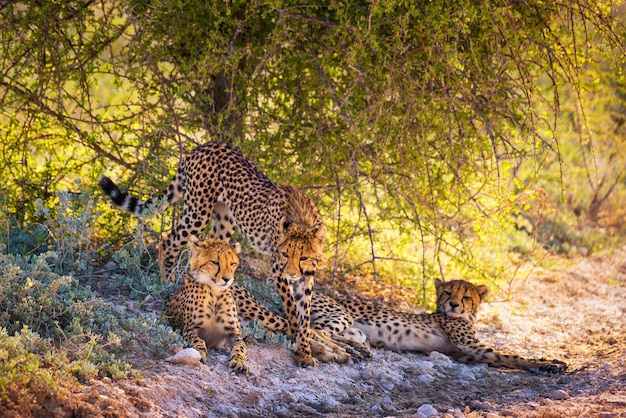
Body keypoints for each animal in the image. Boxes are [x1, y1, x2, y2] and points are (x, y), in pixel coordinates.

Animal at [166, 237, 249, 374]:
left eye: (232, 263)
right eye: (215, 262)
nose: (227, 279)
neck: (215, 292)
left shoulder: (234, 333)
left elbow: (240, 347)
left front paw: (239, 362)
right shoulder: (189, 329)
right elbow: (198, 340)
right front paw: (199, 354)